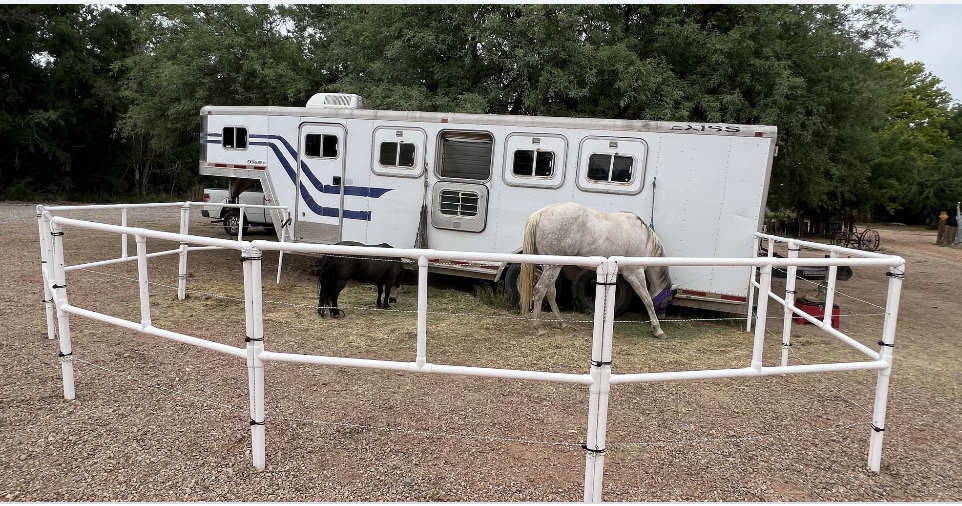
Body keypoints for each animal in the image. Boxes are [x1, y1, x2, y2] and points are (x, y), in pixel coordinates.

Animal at [519, 202, 673, 338]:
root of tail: (540, 214)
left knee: (550, 292)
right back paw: (538, 327)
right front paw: (658, 329)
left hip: (551, 266)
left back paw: (561, 323)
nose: (663, 317)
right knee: (539, 290)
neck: (644, 238)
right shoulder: (634, 274)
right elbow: (647, 299)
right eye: (666, 301)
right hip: (552, 267)